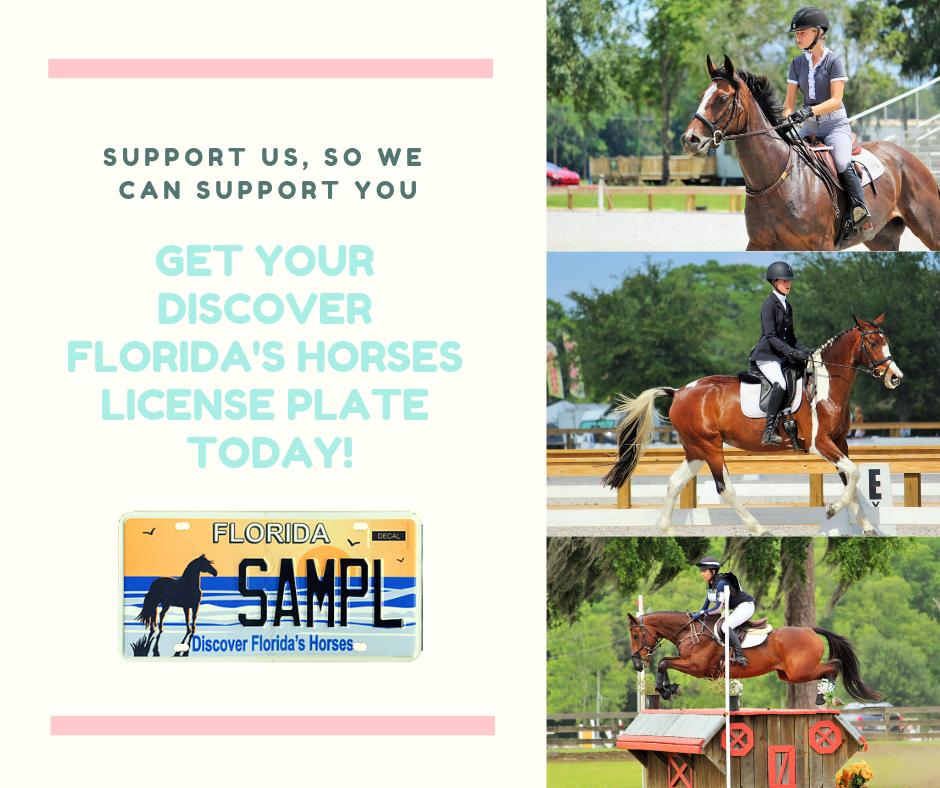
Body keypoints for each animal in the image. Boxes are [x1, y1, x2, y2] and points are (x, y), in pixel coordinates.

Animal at [603, 315, 902, 534]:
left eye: (886, 342)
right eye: (873, 344)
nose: (895, 377)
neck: (827, 385)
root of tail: (678, 392)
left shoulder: (840, 442)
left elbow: (851, 479)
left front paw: (866, 526)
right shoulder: (821, 444)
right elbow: (853, 473)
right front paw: (832, 510)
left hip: (695, 450)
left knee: (675, 482)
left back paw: (666, 529)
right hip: (710, 446)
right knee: (725, 488)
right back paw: (757, 528)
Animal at [628, 610, 882, 703]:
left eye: (636, 635)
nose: (637, 664)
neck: (690, 632)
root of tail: (810, 630)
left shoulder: (697, 667)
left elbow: (663, 662)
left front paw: (665, 689)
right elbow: (665, 663)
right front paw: (668, 688)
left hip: (799, 671)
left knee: (834, 665)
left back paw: (823, 697)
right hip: (788, 674)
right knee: (831, 666)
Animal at [681, 55, 940, 251]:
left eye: (722, 98)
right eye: (701, 96)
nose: (690, 140)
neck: (777, 179)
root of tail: (909, 156)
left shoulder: (820, 244)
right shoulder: (758, 244)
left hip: (929, 228)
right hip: (882, 239)